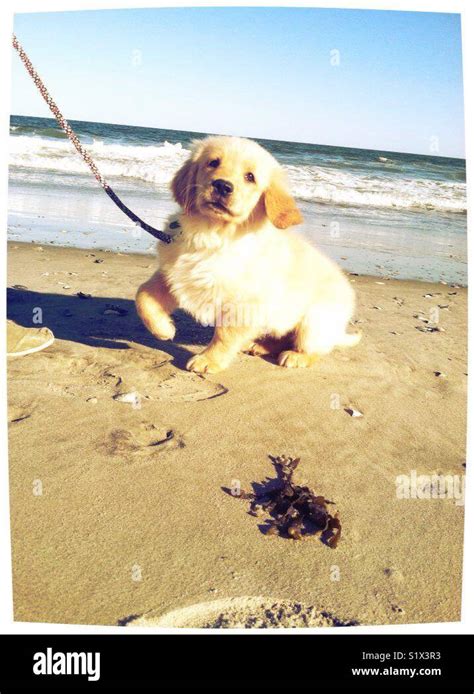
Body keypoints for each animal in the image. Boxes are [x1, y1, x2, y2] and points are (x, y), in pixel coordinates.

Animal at [136, 137, 360, 376]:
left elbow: (224, 335)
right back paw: (259, 345)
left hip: (314, 322)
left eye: (250, 177)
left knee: (314, 347)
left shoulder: (243, 302)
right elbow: (143, 295)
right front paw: (163, 329)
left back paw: (296, 356)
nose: (222, 185)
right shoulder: (175, 275)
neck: (213, 233)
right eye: (213, 163)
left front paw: (209, 360)